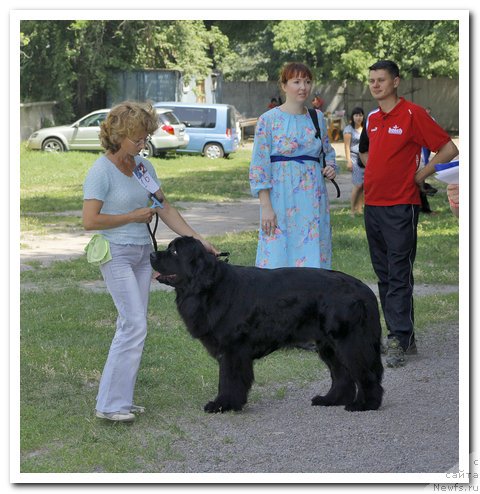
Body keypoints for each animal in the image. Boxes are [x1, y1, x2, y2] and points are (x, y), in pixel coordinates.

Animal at [150, 237, 382, 414]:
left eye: (174, 252)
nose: (152, 255)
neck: (209, 288)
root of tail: (362, 289)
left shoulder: (233, 350)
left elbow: (229, 379)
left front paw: (223, 404)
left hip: (349, 341)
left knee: (364, 372)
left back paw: (365, 404)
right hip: (328, 345)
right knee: (342, 374)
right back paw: (330, 399)